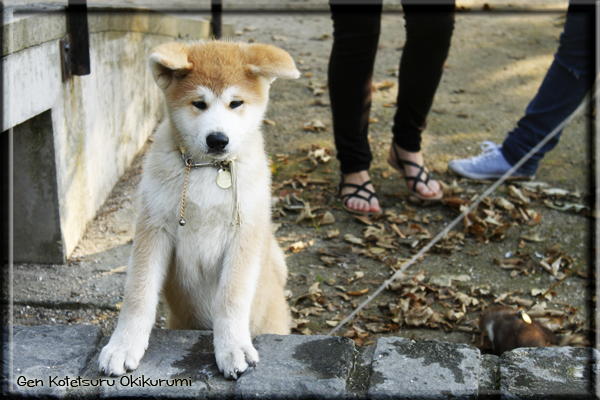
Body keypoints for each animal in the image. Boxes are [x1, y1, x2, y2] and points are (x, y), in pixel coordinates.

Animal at [99, 41, 300, 382]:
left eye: (236, 103)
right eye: (199, 104)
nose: (218, 139)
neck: (210, 169)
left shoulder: (245, 232)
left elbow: (231, 296)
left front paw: (232, 347)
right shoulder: (154, 227)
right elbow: (138, 294)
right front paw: (123, 346)